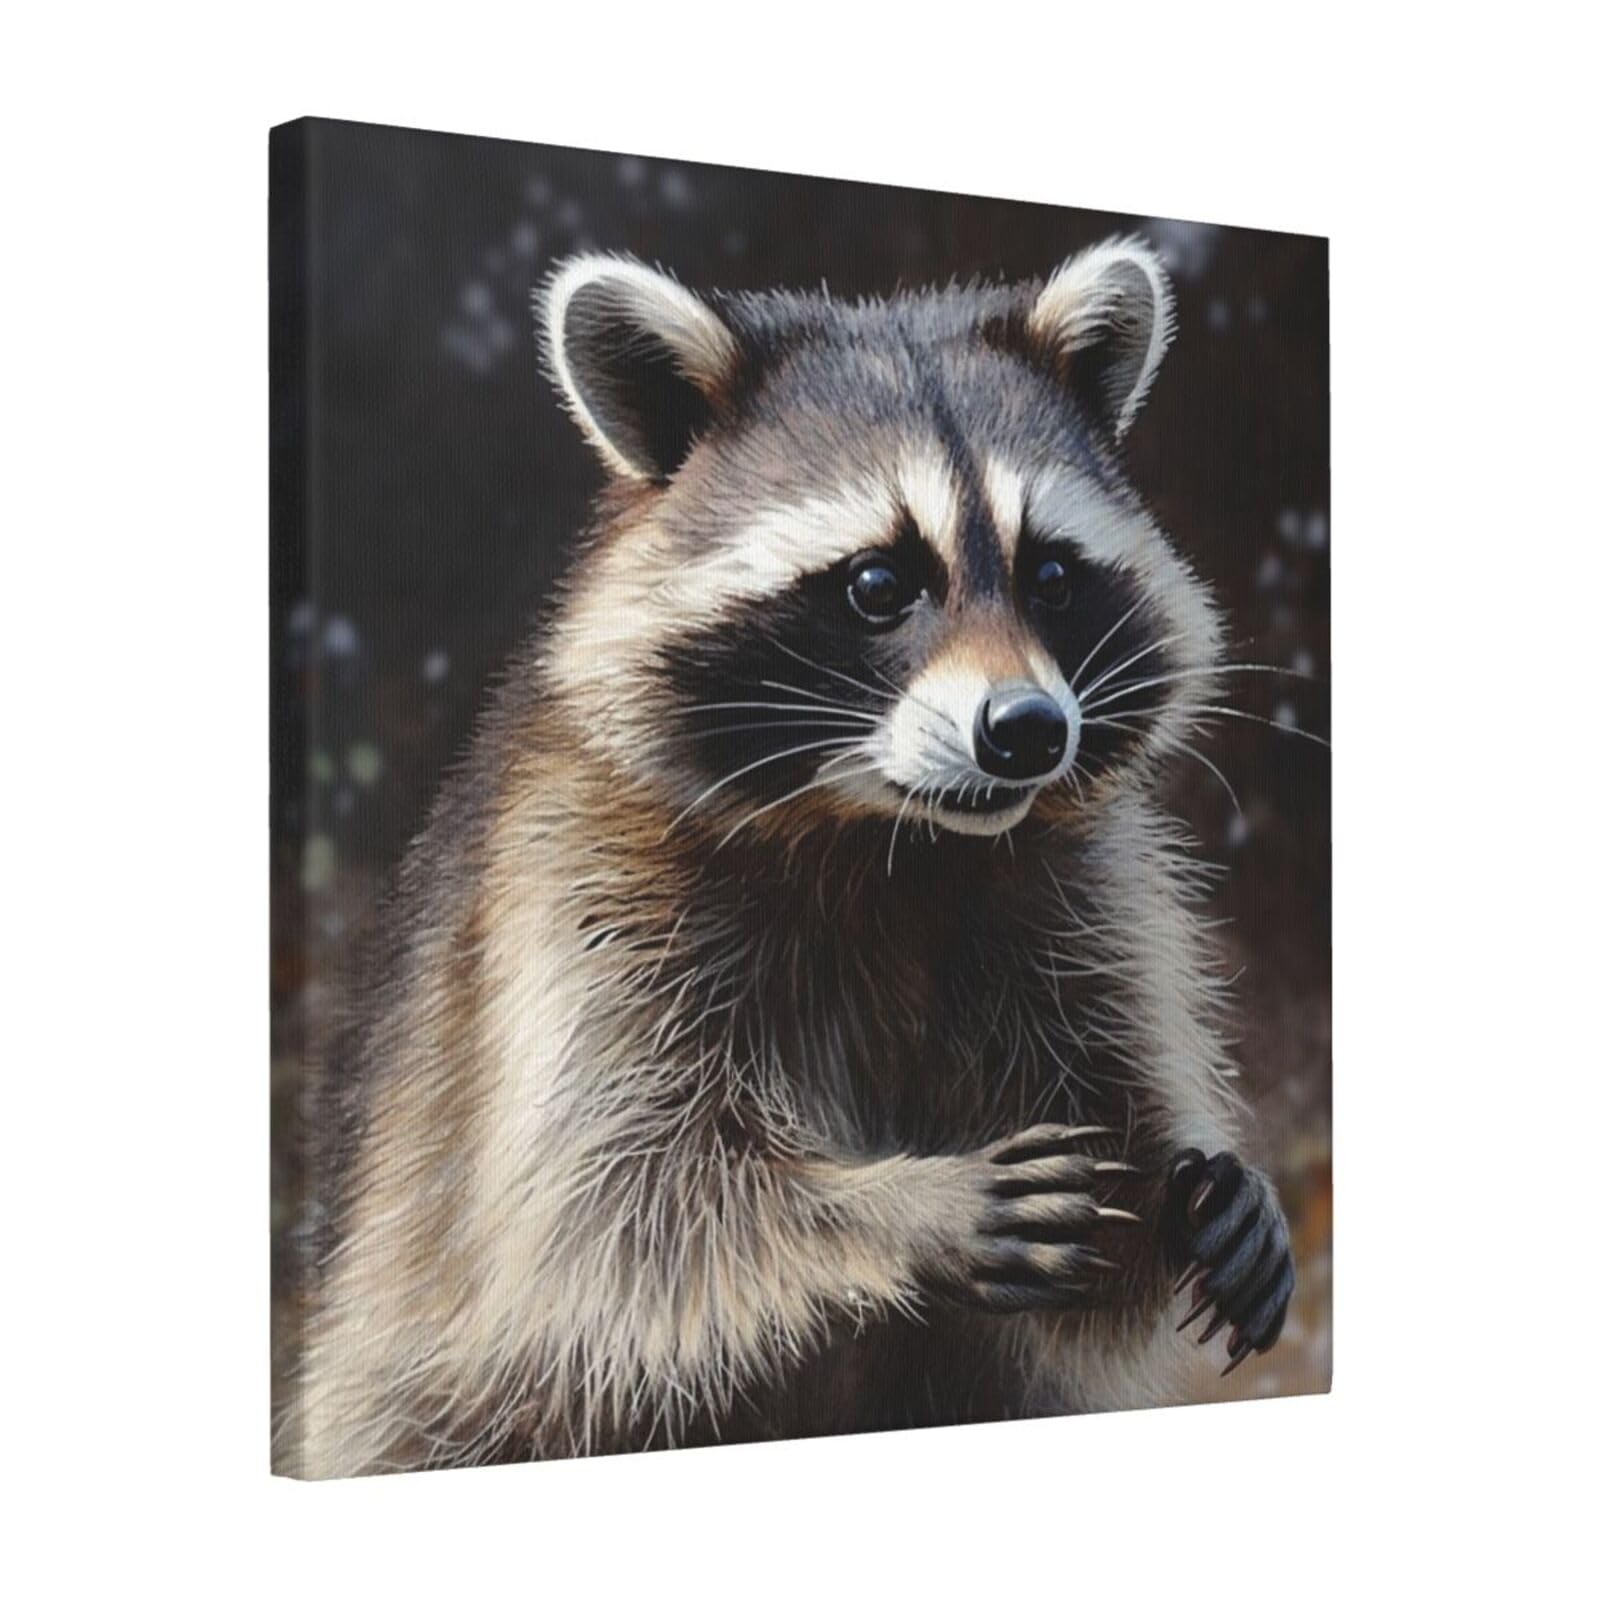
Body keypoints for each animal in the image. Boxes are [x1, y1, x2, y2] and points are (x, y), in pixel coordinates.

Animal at [279, 237, 1296, 1478]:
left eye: (1051, 576)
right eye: (878, 584)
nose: (1026, 729)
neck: (890, 840)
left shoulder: (1076, 896)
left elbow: (1100, 1235)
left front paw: (1199, 1190)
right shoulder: (574, 895)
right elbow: (608, 1217)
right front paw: (902, 1207)